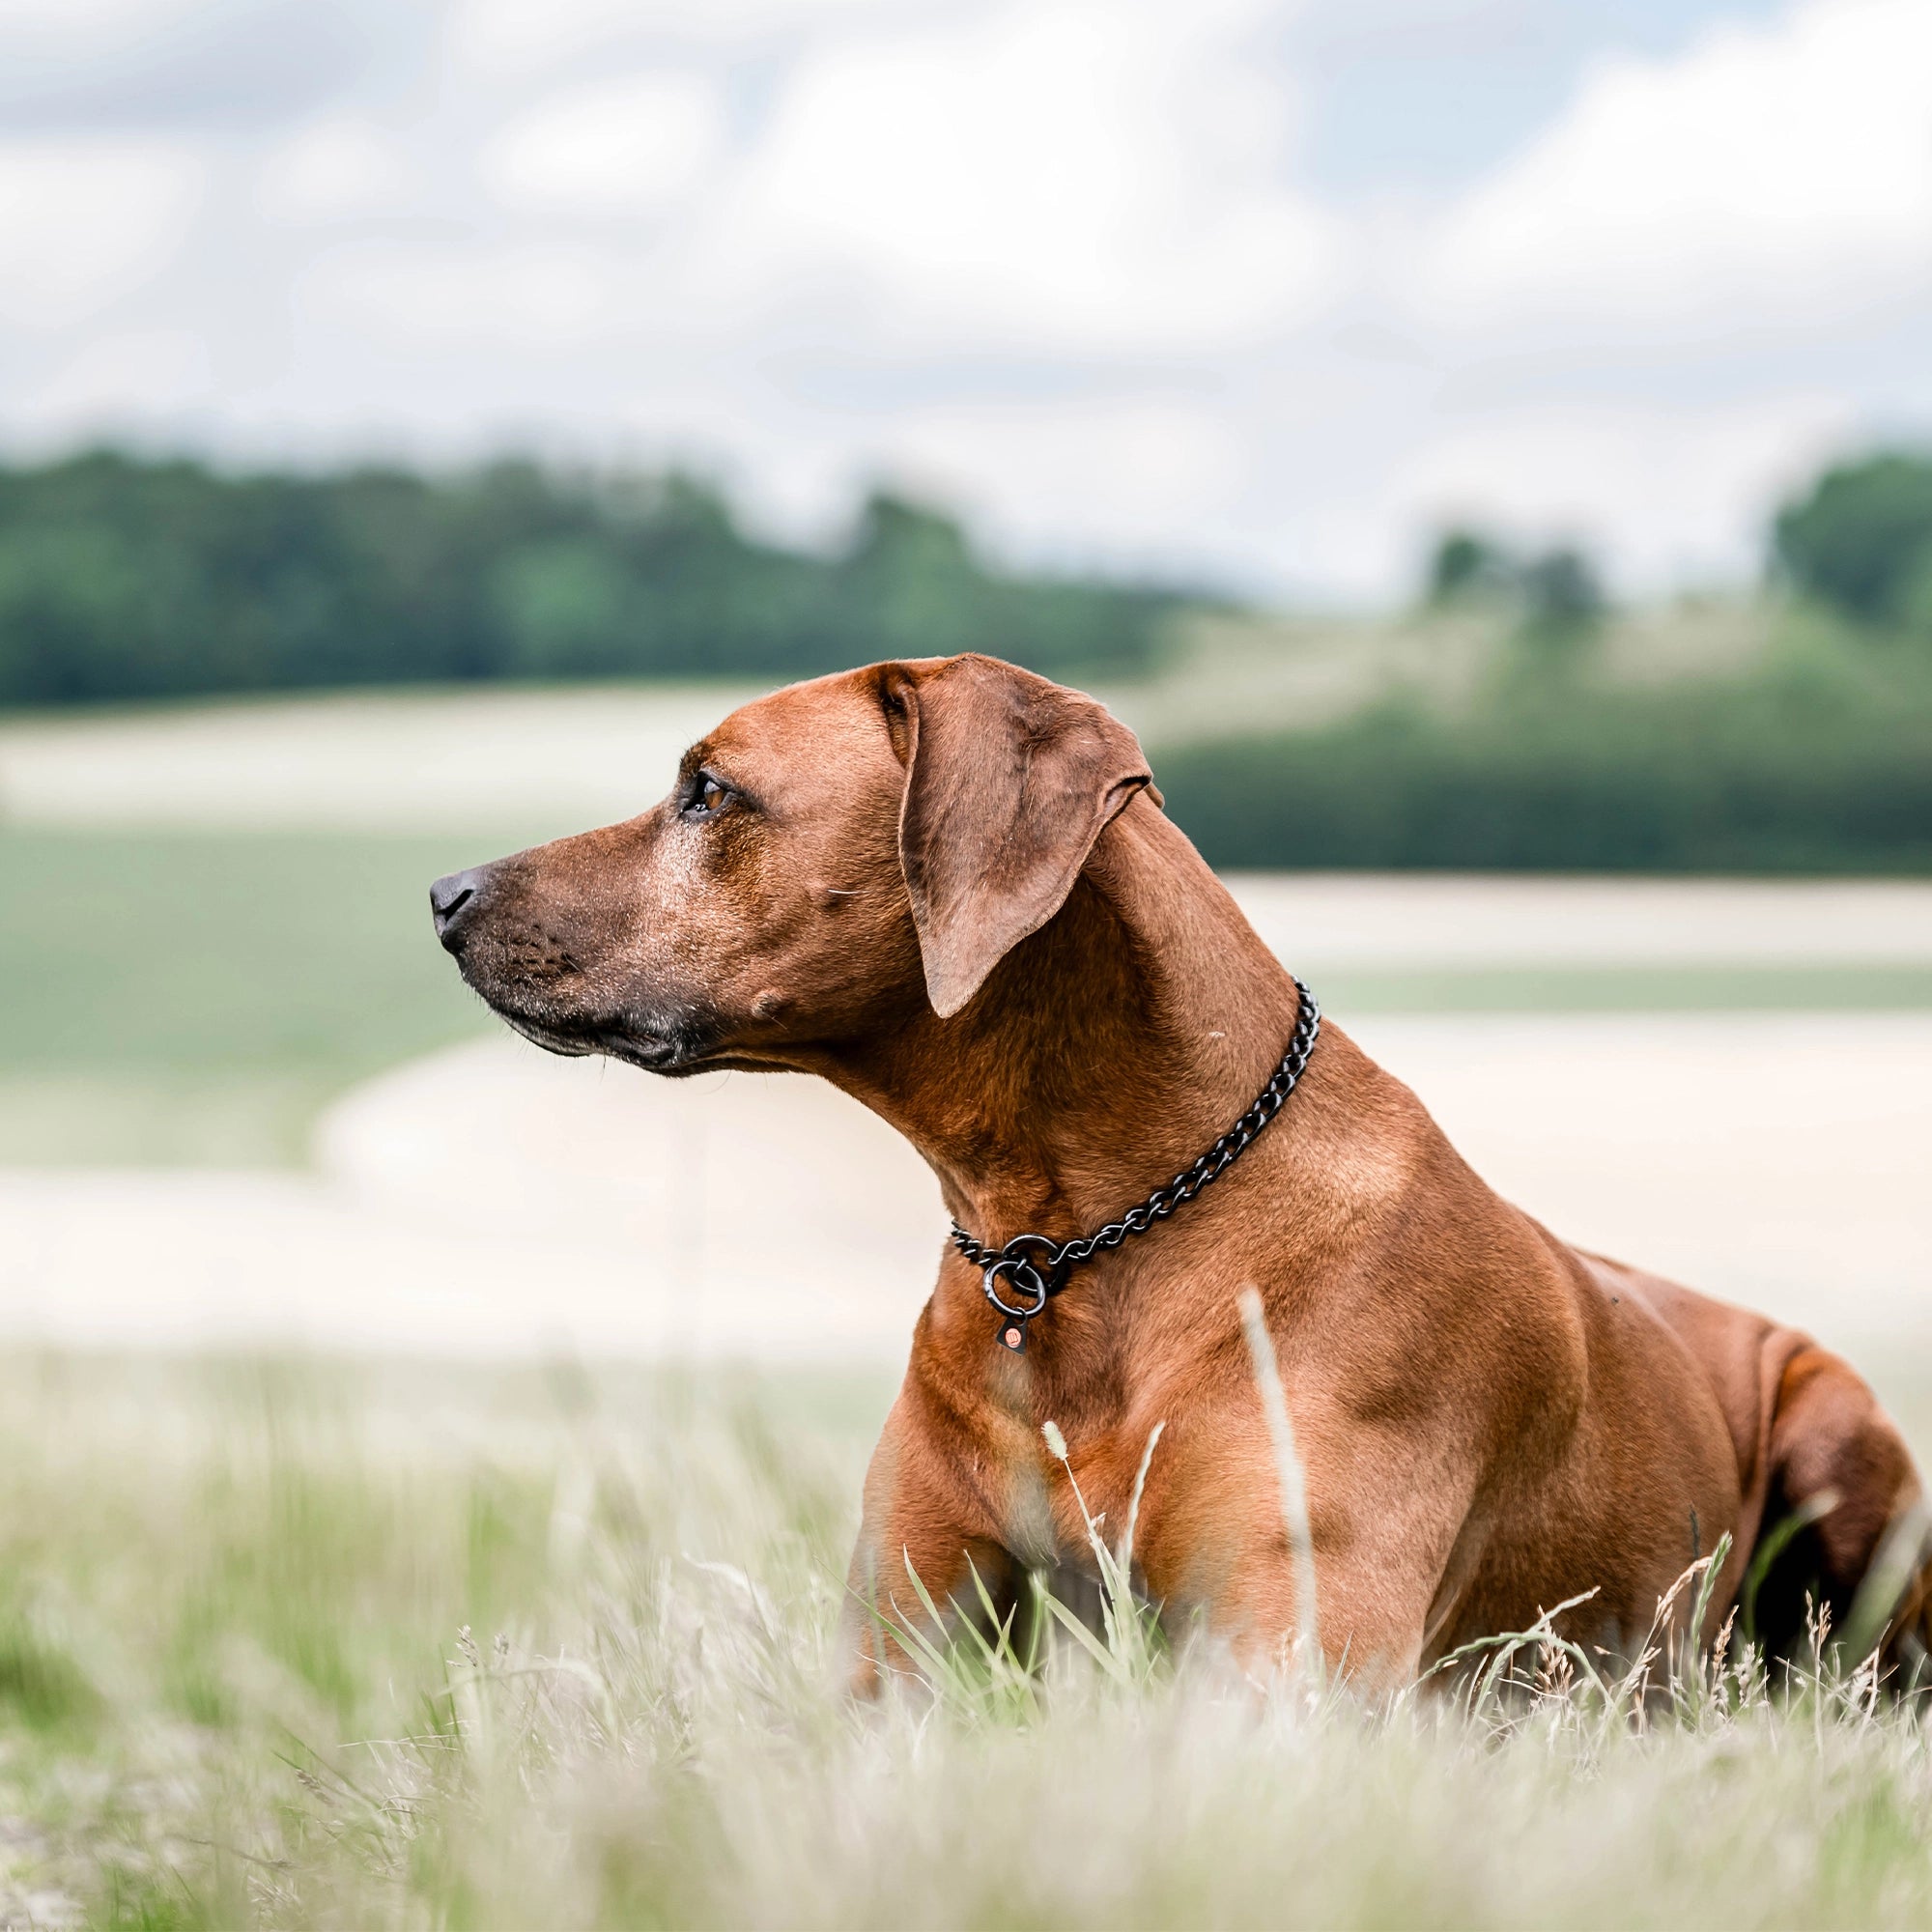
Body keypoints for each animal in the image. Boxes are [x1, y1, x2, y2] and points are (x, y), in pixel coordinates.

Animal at [431, 653, 1924, 1692]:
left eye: (709, 789)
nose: (445, 896)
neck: (1061, 1247)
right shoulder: (900, 1641)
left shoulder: (1290, 1653)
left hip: (1840, 1437)